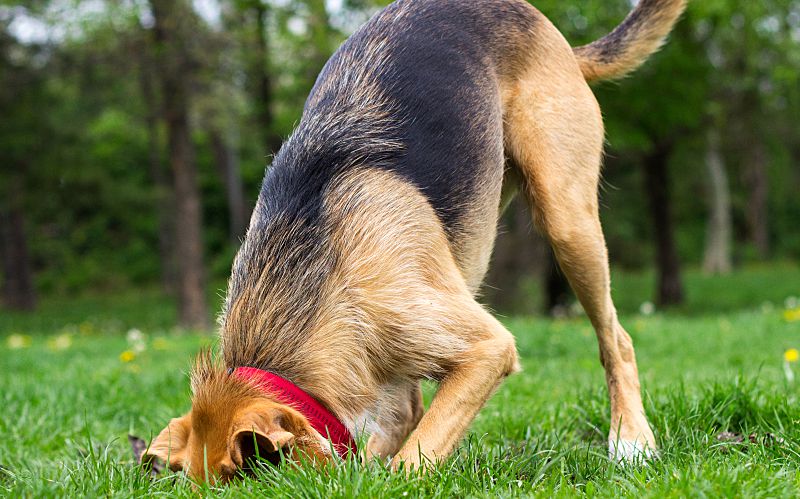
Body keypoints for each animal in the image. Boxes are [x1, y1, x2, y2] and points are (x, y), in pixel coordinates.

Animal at [141, 0, 684, 484]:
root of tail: (556, 38)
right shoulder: (396, 381)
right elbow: (399, 428)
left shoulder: (485, 347)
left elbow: (413, 457)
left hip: (567, 220)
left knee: (617, 340)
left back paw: (631, 439)